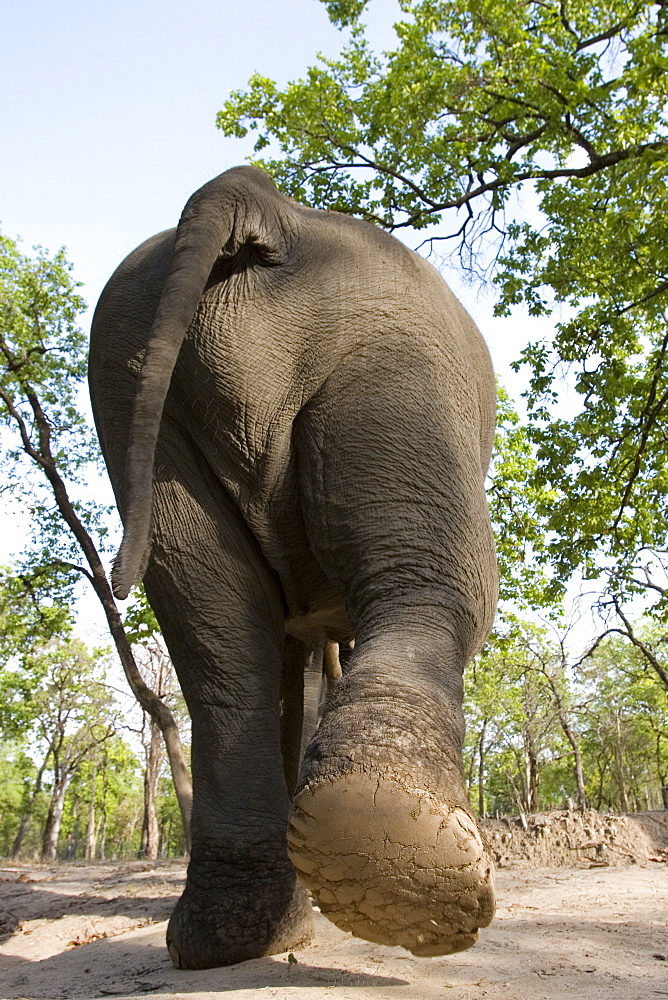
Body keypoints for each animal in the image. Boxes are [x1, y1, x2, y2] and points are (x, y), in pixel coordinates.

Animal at [87, 164, 496, 968]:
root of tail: (258, 202)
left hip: (131, 390)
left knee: (217, 640)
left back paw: (246, 930)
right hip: (395, 350)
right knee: (442, 579)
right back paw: (392, 858)